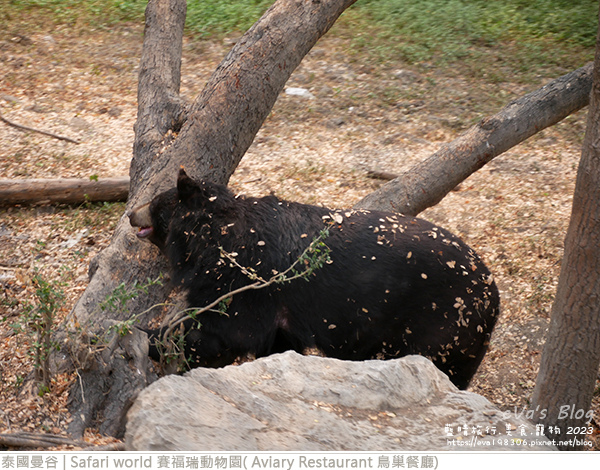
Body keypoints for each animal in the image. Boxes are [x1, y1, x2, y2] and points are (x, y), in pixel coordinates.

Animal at [129, 169, 500, 390]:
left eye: (156, 204)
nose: (131, 213)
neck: (213, 237)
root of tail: (493, 295)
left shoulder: (246, 277)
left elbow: (224, 329)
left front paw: (150, 336)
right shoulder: (280, 313)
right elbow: (273, 343)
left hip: (440, 324)